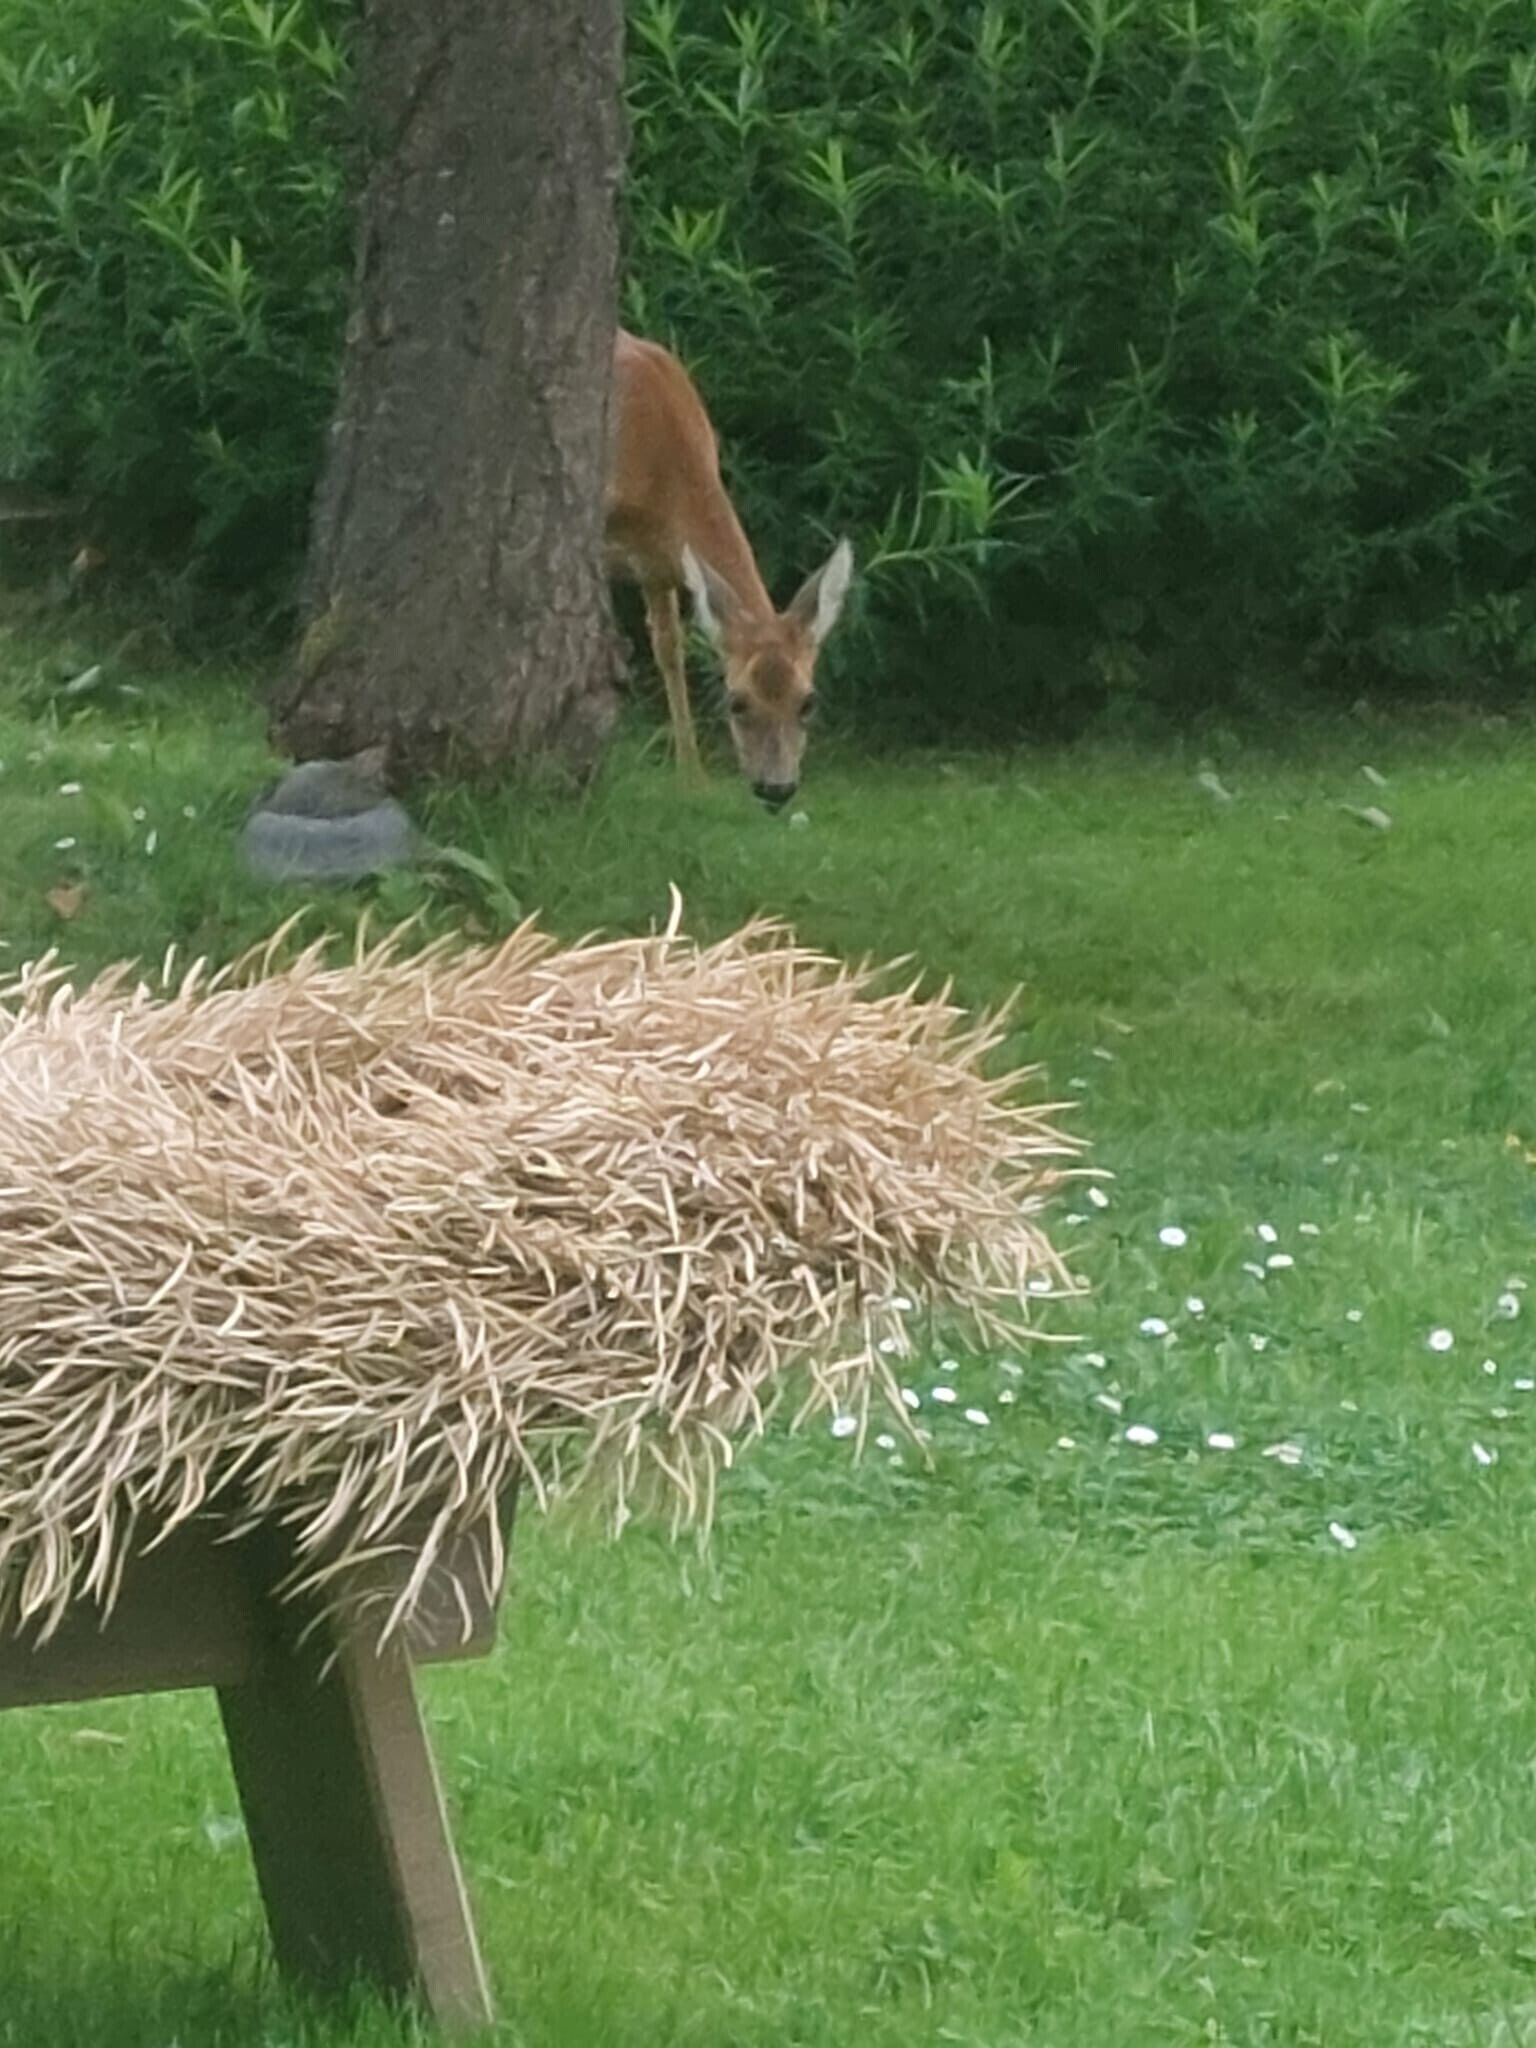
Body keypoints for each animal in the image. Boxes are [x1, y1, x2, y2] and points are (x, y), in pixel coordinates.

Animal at [605, 328, 853, 810]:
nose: (777, 788)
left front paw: (691, 779)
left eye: (807, 702)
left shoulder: (657, 565)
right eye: (736, 702)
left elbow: (668, 648)